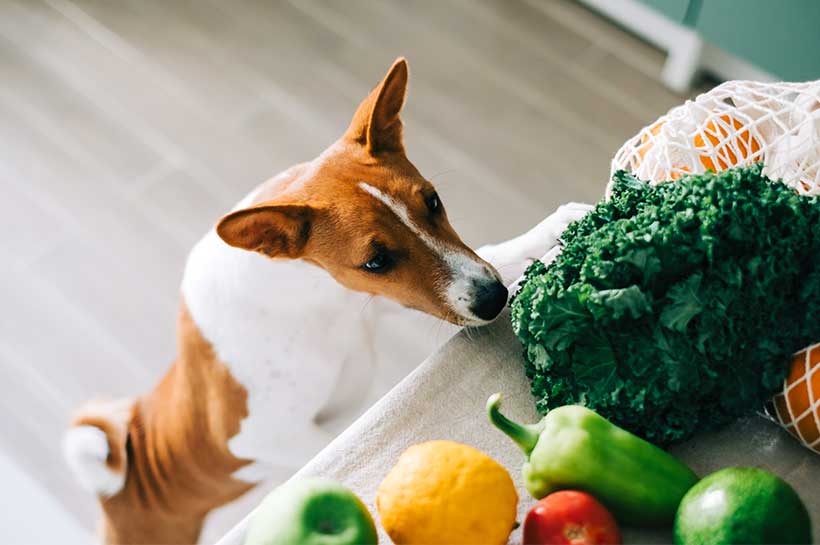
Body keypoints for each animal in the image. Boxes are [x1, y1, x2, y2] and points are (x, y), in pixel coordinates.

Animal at [64, 57, 588, 540]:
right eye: (376, 261)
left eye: (433, 202)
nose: (493, 298)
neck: (314, 301)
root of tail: (117, 490)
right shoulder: (259, 436)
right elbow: (337, 439)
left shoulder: (378, 302)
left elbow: (492, 253)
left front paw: (550, 230)